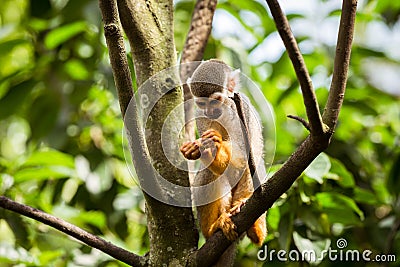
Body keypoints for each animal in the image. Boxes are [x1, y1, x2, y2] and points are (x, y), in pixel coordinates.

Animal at [180, 60, 268, 262]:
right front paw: (201, 150)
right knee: (210, 173)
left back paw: (254, 226)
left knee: (254, 163)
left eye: (215, 101)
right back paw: (212, 228)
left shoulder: (240, 107)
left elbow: (244, 152)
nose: (210, 111)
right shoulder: (201, 116)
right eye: (202, 103)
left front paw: (216, 147)